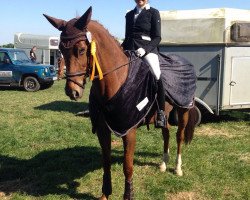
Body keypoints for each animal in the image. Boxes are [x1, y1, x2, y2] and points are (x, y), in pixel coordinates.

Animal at [44, 6, 197, 200]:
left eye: (81, 50)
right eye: (60, 50)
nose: (72, 91)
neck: (115, 80)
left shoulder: (129, 131)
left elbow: (128, 167)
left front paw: (128, 195)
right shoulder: (102, 129)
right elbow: (106, 162)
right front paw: (105, 194)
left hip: (183, 108)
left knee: (179, 136)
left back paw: (177, 168)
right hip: (164, 112)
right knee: (166, 133)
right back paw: (163, 164)